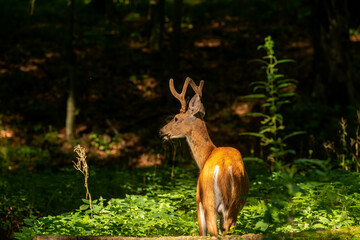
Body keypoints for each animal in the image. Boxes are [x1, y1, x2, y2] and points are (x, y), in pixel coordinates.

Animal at [160, 77, 250, 236]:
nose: (161, 131)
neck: (206, 155)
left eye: (176, 118)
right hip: (234, 205)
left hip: (208, 201)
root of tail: (224, 169)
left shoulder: (198, 200)